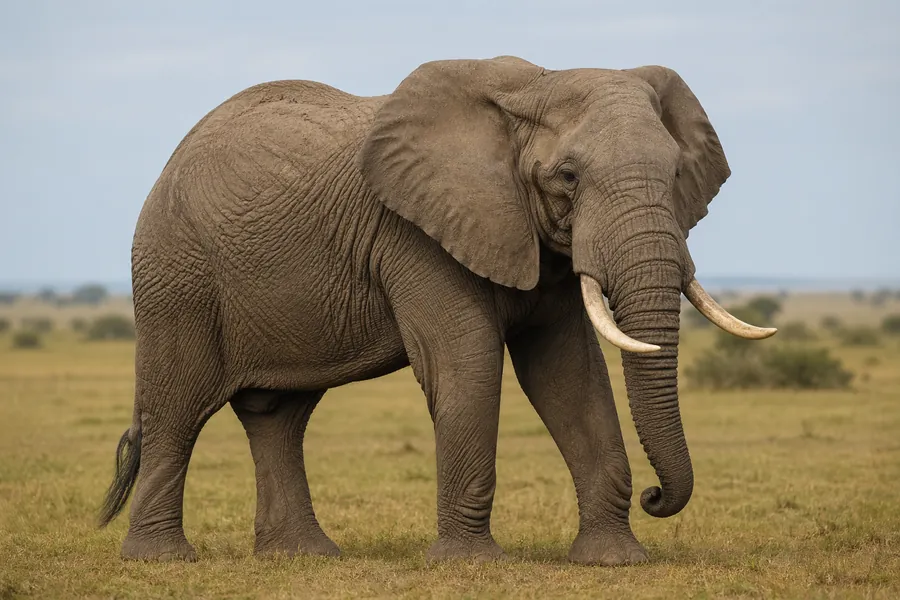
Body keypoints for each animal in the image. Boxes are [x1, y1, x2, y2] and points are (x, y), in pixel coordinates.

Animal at [97, 55, 775, 566]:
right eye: (568, 177)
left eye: (677, 173)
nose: (657, 497)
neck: (532, 87)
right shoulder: (415, 234)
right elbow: (467, 363)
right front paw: (471, 564)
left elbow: (569, 375)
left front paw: (613, 561)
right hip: (175, 271)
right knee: (179, 406)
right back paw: (161, 560)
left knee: (278, 415)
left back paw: (303, 557)